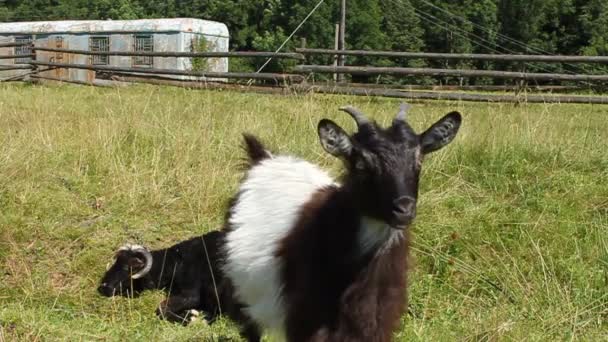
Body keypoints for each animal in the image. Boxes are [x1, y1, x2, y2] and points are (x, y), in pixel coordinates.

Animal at [98, 230, 228, 324]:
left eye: (127, 268)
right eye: (115, 263)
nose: (103, 287)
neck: (175, 261)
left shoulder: (191, 294)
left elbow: (162, 308)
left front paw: (189, 319)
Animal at [221, 104, 464, 342]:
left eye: (419, 160)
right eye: (362, 163)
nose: (404, 209)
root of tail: (264, 159)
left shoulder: (377, 321)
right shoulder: (306, 321)